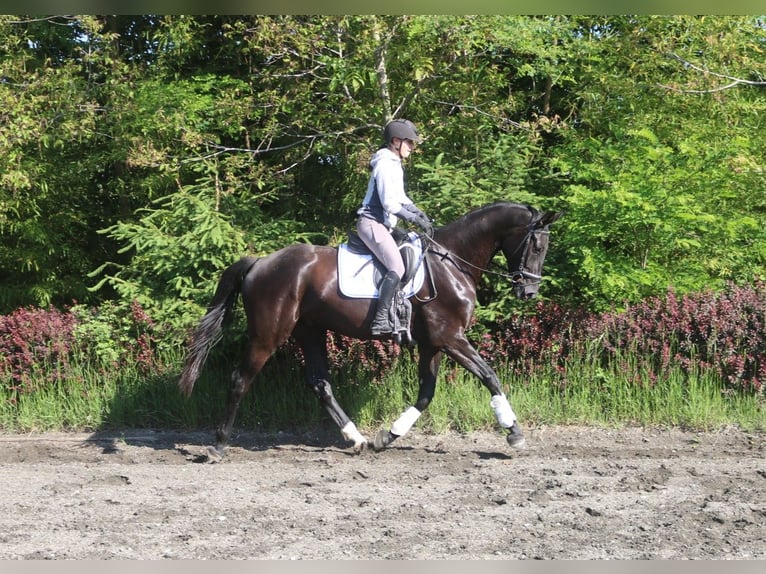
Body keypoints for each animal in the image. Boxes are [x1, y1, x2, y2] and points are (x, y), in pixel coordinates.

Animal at [180, 202, 564, 460]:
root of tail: (260, 262)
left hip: (310, 330)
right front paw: (514, 433)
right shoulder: (451, 338)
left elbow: (425, 394)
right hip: (268, 333)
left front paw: (386, 436)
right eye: (538, 245)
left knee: (320, 384)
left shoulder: (433, 344)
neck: (452, 261)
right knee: (240, 379)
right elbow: (490, 376)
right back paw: (218, 445)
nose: (529, 292)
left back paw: (357, 439)